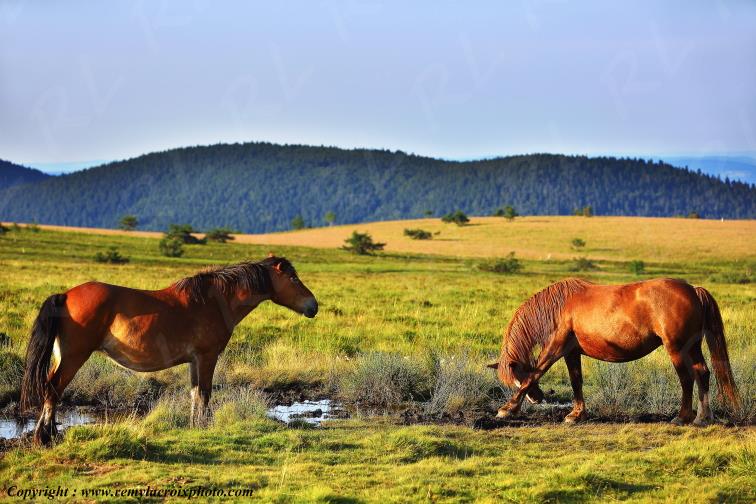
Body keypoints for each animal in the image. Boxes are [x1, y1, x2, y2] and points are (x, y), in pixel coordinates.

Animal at [20, 255, 318, 445]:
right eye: (293, 277)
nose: (313, 306)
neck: (214, 300)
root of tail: (65, 295)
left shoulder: (195, 361)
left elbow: (195, 394)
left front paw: (194, 426)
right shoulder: (207, 357)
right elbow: (205, 394)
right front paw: (204, 426)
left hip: (62, 357)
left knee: (50, 388)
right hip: (74, 357)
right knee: (53, 388)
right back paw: (45, 437)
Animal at [488, 278, 740, 425]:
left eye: (516, 375)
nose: (537, 399)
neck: (560, 307)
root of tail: (693, 291)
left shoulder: (555, 348)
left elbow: (535, 374)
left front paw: (507, 409)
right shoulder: (571, 353)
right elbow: (576, 381)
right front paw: (577, 414)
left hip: (677, 349)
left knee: (687, 378)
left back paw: (682, 417)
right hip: (692, 347)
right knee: (702, 372)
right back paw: (702, 417)